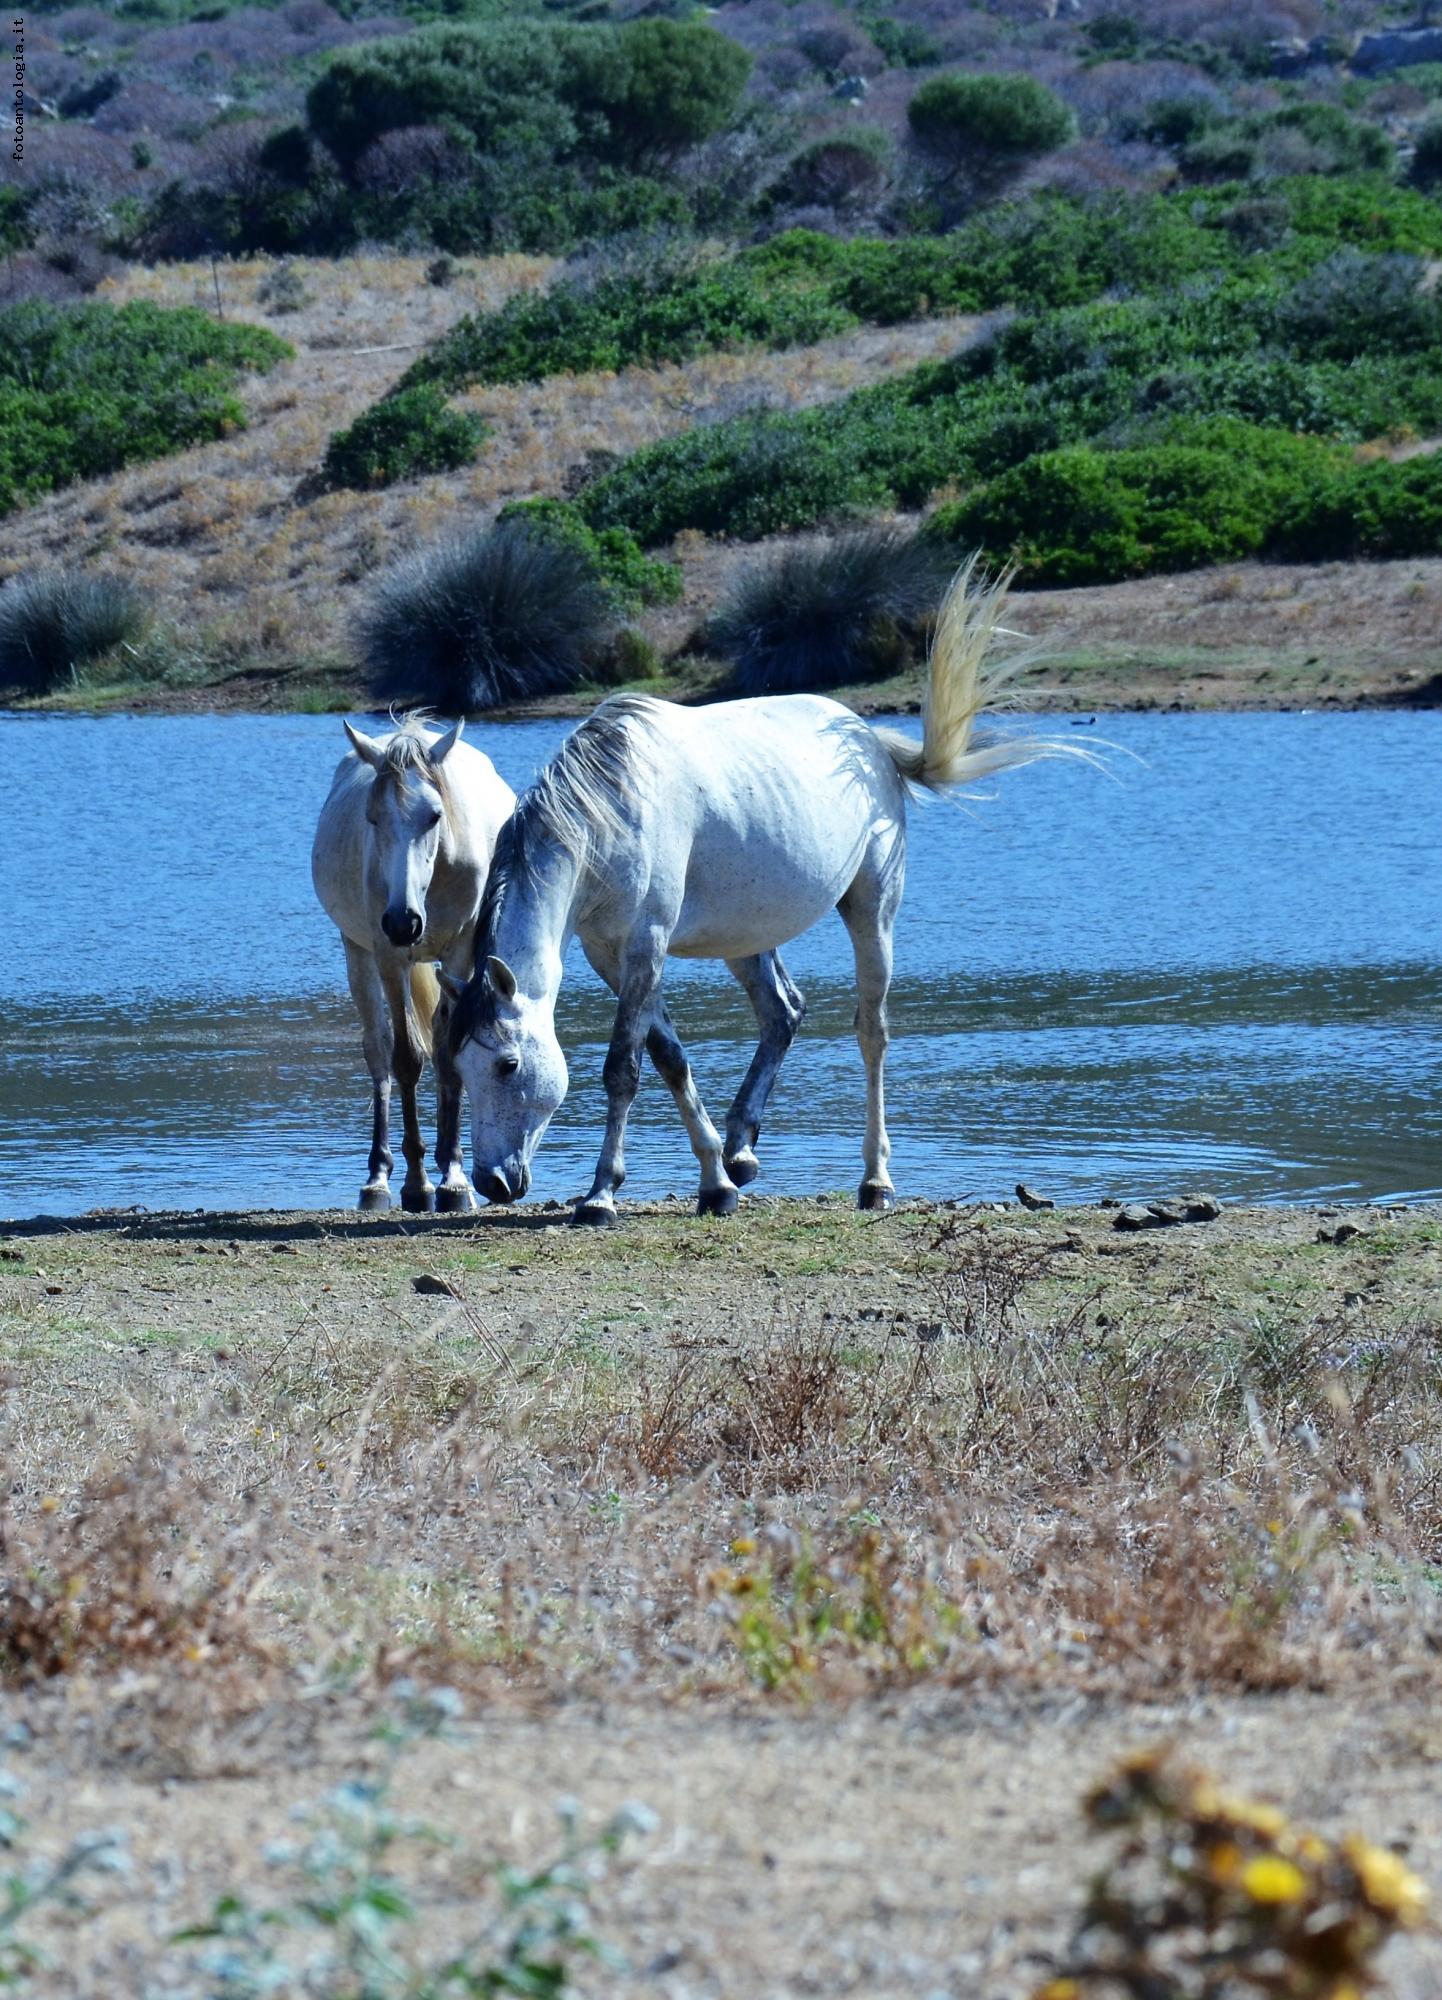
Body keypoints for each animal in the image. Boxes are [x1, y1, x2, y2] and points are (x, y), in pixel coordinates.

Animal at [312, 720, 516, 1216]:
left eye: (434, 816)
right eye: (372, 817)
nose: (403, 921)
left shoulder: (461, 951)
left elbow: (447, 1053)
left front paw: (454, 1180)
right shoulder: (388, 956)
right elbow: (404, 1058)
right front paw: (417, 1183)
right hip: (358, 951)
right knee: (377, 1051)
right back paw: (377, 1177)